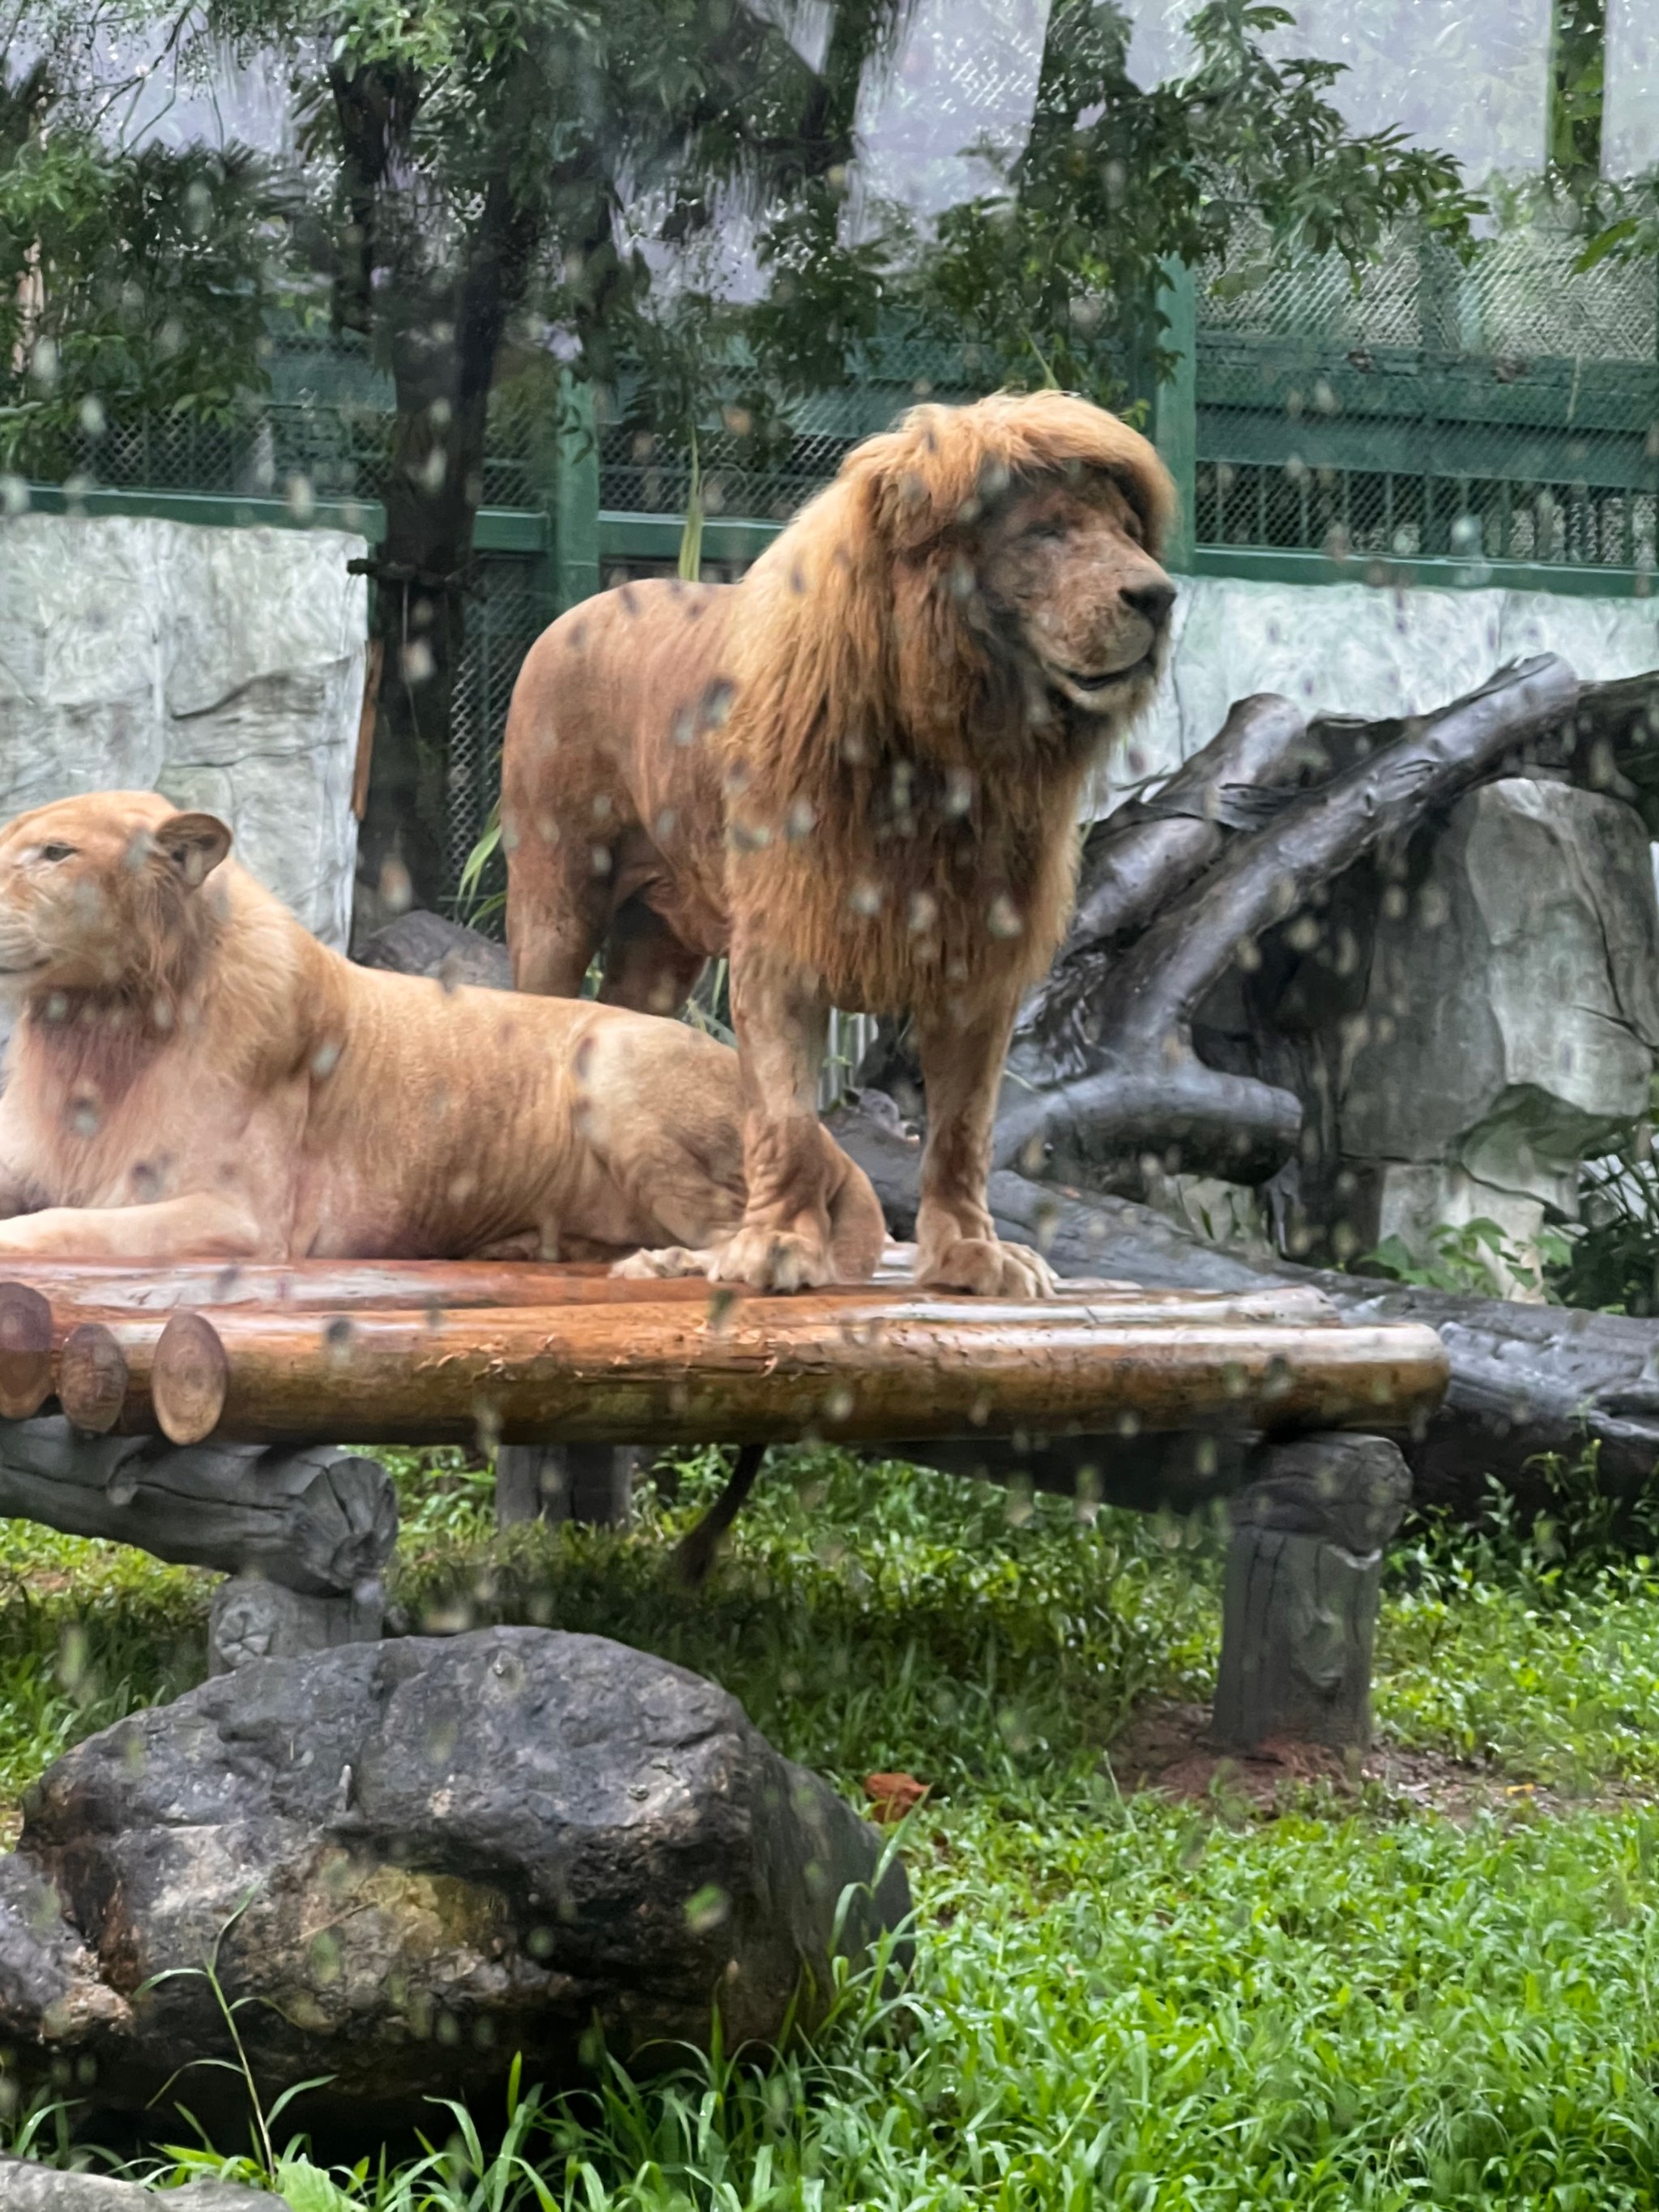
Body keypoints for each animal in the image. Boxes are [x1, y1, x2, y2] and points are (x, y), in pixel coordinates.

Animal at [0, 796, 889, 1283]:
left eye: (55, 853)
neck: (93, 1024)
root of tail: (826, 1138)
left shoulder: (245, 1218)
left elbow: (67, 1226)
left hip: (615, 1060)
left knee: (785, 1240)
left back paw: (670, 1265)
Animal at [500, 391, 1176, 1300]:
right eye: (1047, 532)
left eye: (1127, 532)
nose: (1159, 595)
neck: (950, 752)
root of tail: (583, 607)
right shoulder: (783, 939)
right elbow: (784, 1113)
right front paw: (779, 1247)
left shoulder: (978, 959)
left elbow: (963, 1131)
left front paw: (972, 1255)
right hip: (554, 897)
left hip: (661, 943)